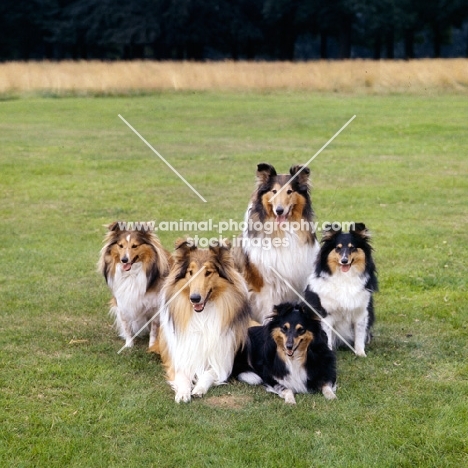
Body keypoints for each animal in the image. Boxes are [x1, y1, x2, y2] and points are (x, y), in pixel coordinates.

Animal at [152, 238, 250, 402]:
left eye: (208, 272)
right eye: (190, 272)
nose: (195, 298)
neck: (202, 317)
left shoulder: (223, 358)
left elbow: (210, 373)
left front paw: (199, 388)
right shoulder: (179, 356)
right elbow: (182, 375)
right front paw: (183, 392)